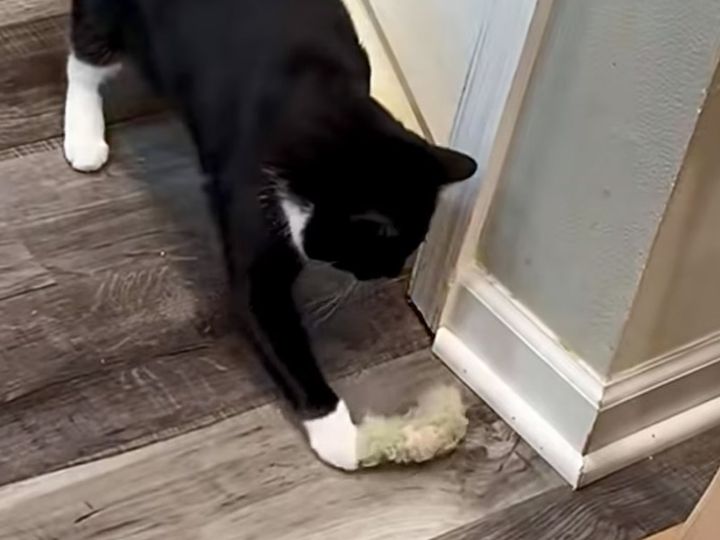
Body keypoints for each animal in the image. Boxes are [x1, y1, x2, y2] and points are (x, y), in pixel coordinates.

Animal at [64, 0, 477, 471]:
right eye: (389, 249)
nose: (391, 273)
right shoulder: (251, 218)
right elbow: (273, 327)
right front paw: (342, 438)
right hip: (110, 14)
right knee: (85, 58)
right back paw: (83, 136)